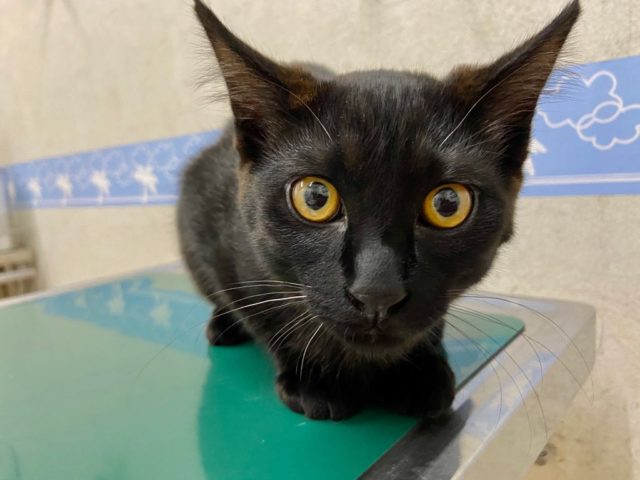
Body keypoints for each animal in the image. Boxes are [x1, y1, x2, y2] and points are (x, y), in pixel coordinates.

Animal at [178, 0, 580, 420]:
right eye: (315, 198)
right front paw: (314, 379)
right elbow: (261, 313)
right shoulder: (214, 232)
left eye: (448, 204)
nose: (377, 293)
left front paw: (418, 373)